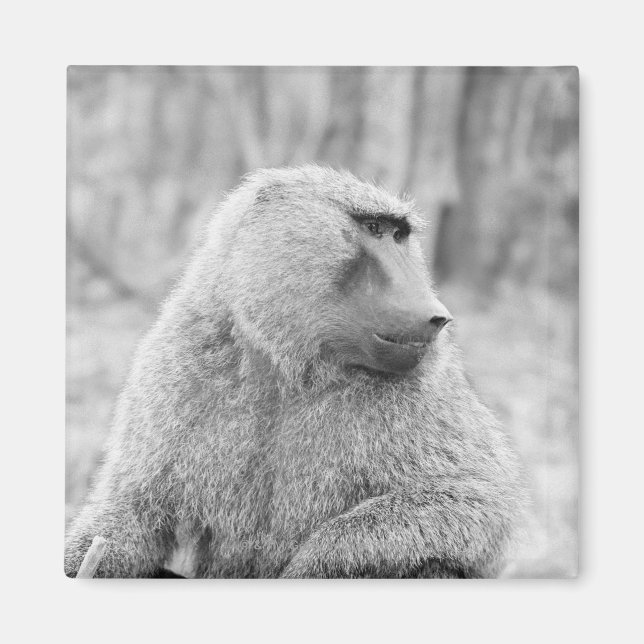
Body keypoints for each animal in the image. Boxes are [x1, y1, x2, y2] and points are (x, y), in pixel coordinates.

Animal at [65, 165, 526, 579]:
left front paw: (310, 566)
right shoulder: (172, 364)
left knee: (433, 563)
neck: (288, 367)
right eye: (374, 227)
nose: (437, 316)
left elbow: (479, 503)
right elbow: (134, 511)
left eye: (399, 235)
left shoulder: (425, 388)